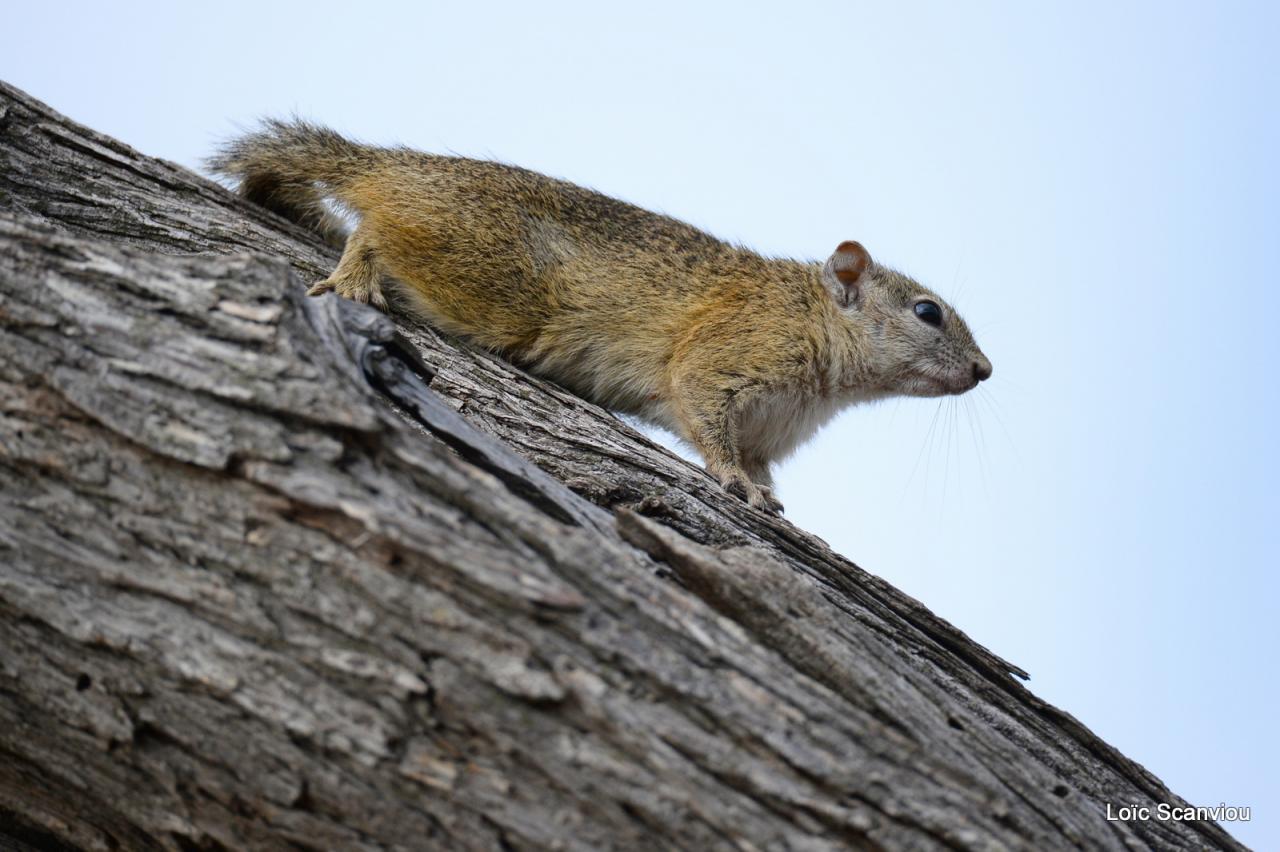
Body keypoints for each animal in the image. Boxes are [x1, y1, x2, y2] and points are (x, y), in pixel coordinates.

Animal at [209, 120, 993, 511]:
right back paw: (358, 271)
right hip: (486, 275)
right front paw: (733, 482)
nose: (986, 370)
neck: (815, 324)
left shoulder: (771, 433)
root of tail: (399, 169)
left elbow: (763, 467)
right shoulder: (731, 350)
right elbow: (705, 412)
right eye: (927, 312)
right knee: (373, 230)